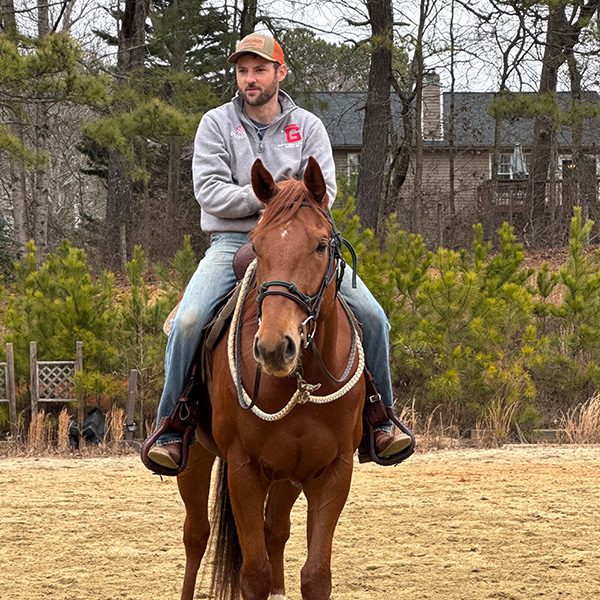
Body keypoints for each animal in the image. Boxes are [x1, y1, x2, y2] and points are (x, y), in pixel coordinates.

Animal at [176, 157, 366, 600]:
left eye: (320, 245)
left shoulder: (333, 472)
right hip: (194, 456)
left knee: (275, 530)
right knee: (196, 535)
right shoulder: (244, 471)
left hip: (287, 477)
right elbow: (254, 575)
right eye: (258, 246)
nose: (275, 347)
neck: (299, 382)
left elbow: (315, 575)